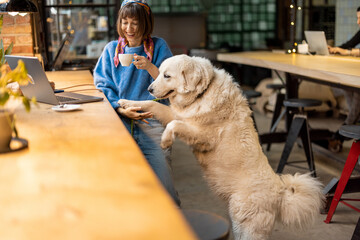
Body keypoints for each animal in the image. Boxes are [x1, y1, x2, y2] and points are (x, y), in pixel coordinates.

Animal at [117, 54, 324, 240]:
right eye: (159, 73)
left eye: (167, 76)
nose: (150, 88)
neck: (203, 93)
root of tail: (280, 193)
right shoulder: (177, 115)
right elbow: (151, 105)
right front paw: (126, 103)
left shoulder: (202, 136)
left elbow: (173, 125)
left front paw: (165, 140)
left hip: (246, 221)